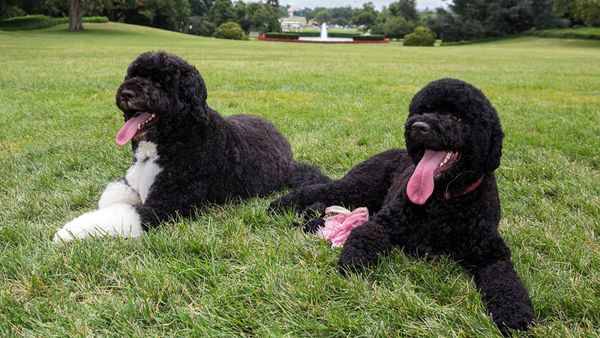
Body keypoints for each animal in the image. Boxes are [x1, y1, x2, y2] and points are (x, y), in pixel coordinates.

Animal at [52, 51, 328, 243]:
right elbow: (112, 196)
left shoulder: (170, 206)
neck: (172, 140)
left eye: (160, 84)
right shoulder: (131, 181)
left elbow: (124, 213)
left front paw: (69, 231)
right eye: (134, 75)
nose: (126, 93)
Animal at [272, 78, 536, 332]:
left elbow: (506, 281)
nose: (418, 127)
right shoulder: (384, 223)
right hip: (357, 187)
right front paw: (353, 263)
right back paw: (279, 205)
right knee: (319, 189)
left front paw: (515, 314)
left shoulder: (491, 252)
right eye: (423, 110)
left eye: (456, 117)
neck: (444, 199)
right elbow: (365, 234)